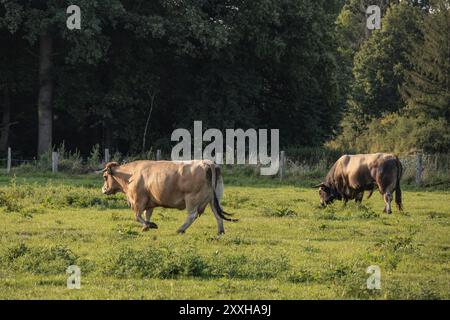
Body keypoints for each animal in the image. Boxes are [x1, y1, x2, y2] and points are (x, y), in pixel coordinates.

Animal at [100, 159, 237, 232]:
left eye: (105, 177)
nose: (103, 189)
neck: (130, 175)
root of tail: (208, 163)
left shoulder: (138, 201)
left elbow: (138, 216)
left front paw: (149, 225)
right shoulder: (149, 202)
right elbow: (147, 214)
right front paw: (146, 227)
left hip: (192, 199)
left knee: (192, 215)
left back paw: (180, 229)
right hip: (213, 199)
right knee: (217, 214)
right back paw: (220, 232)